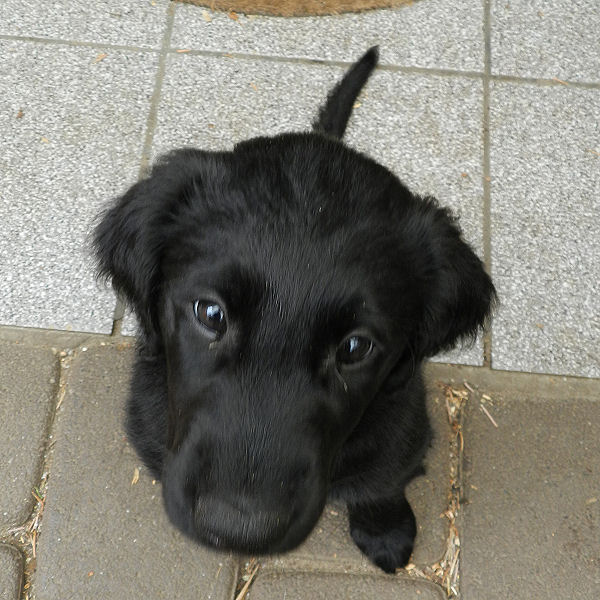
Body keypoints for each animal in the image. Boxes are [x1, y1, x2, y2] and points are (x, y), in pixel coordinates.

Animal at [94, 47, 495, 573]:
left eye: (355, 347)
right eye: (210, 314)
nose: (237, 528)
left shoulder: (402, 421)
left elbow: (383, 479)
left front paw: (385, 528)